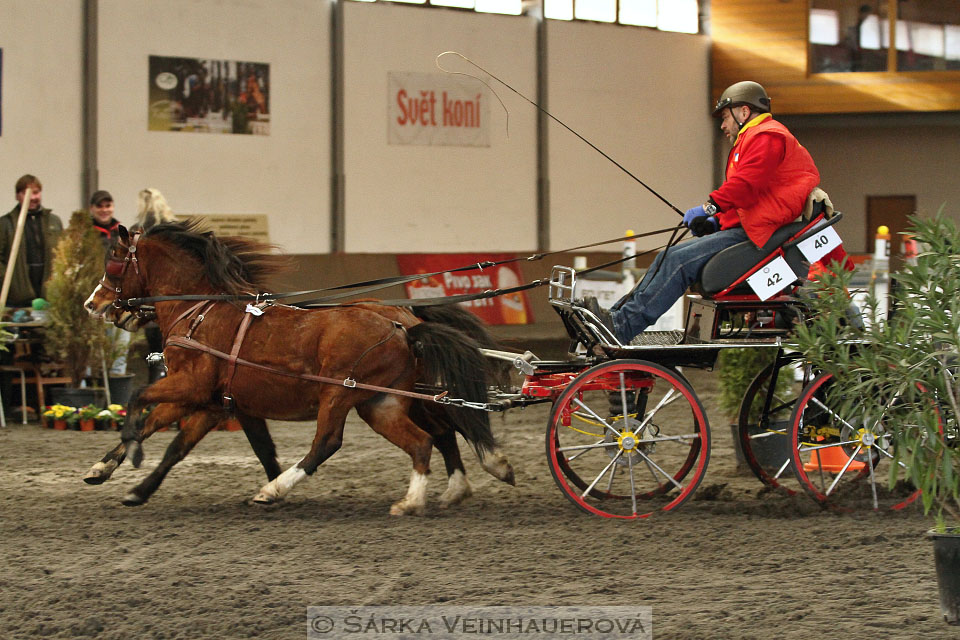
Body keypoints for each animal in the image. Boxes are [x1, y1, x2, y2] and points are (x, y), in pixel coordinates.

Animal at [83, 222, 516, 512]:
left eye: (115, 262)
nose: (93, 304)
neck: (200, 312)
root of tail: (402, 324)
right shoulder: (214, 403)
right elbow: (177, 441)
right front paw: (111, 474)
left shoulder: (192, 386)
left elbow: (139, 402)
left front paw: (133, 459)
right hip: (381, 403)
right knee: (429, 436)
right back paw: (432, 494)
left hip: (340, 393)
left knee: (328, 442)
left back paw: (276, 490)